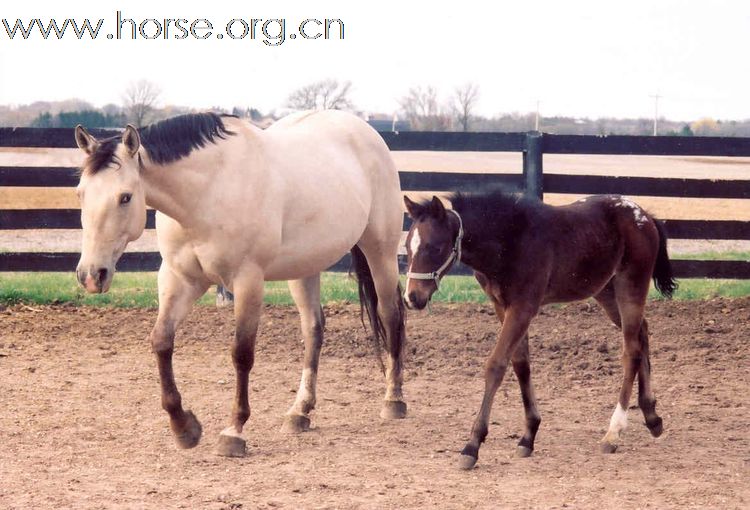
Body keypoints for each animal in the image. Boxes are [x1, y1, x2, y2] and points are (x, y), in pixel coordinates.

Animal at [73, 111, 408, 458]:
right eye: (80, 193)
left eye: (125, 197)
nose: (91, 275)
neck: (208, 192)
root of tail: (366, 131)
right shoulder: (179, 279)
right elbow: (162, 342)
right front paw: (184, 427)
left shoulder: (248, 281)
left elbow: (241, 354)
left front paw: (233, 431)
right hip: (304, 269)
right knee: (313, 330)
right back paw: (299, 412)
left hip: (380, 252)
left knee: (391, 314)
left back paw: (394, 400)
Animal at [406, 191, 680, 470]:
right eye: (407, 247)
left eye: (434, 247)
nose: (412, 298)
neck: (509, 240)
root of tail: (645, 216)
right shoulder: (502, 306)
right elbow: (520, 364)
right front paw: (528, 437)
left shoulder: (523, 307)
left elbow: (496, 365)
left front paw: (472, 446)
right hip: (605, 291)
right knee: (642, 332)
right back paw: (652, 416)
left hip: (631, 286)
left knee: (631, 351)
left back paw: (613, 433)